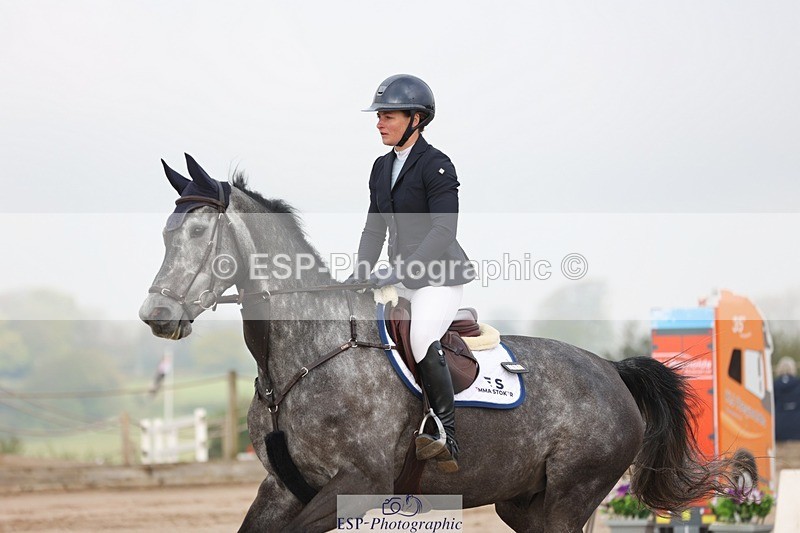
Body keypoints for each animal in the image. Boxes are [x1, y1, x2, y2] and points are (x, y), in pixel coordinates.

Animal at [139, 155, 738, 533]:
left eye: (200, 233)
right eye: (167, 234)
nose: (156, 316)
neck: (305, 356)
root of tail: (613, 370)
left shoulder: (357, 483)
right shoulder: (284, 487)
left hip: (571, 496)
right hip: (526, 503)